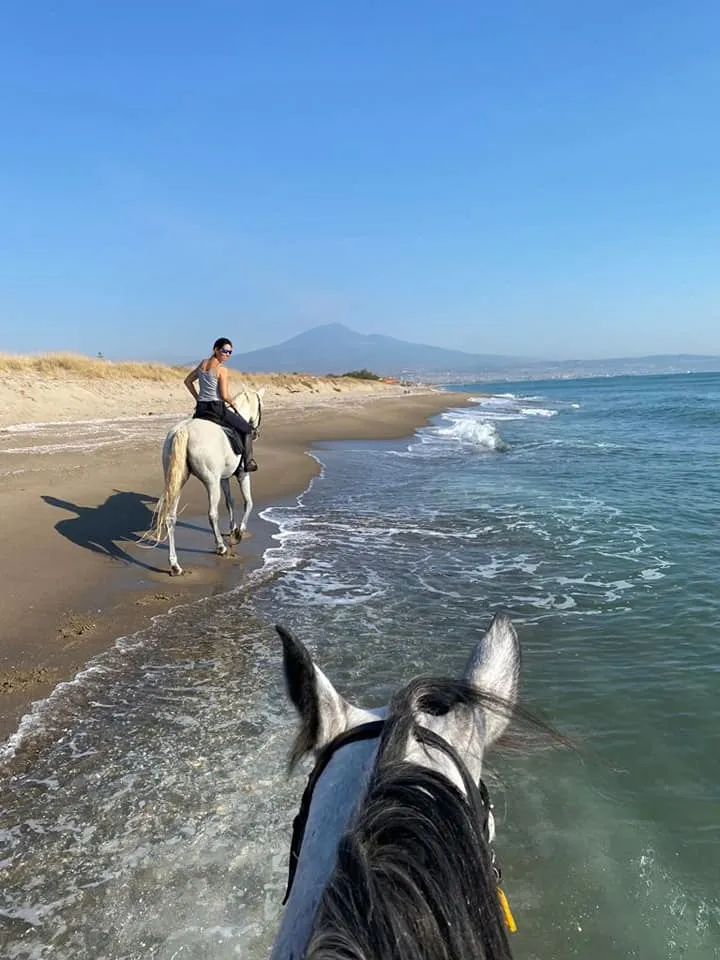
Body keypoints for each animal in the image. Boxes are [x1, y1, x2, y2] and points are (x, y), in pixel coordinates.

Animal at [145, 388, 264, 576]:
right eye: (261, 407)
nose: (256, 433)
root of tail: (184, 430)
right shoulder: (242, 474)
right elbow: (248, 502)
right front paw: (238, 533)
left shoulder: (224, 478)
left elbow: (230, 502)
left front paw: (233, 529)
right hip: (211, 482)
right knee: (212, 514)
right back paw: (221, 547)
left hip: (177, 482)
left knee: (170, 518)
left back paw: (175, 565)